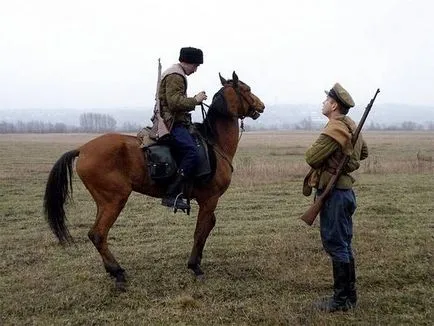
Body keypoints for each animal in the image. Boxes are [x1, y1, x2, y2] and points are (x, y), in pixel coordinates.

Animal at [45, 72, 266, 290]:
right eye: (246, 89)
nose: (261, 106)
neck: (214, 143)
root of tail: (82, 149)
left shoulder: (209, 201)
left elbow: (207, 227)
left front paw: (197, 262)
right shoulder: (209, 200)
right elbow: (200, 231)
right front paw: (195, 267)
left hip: (103, 202)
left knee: (96, 234)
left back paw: (112, 270)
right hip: (114, 200)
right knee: (98, 234)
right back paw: (118, 273)